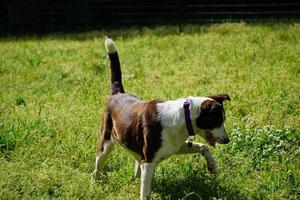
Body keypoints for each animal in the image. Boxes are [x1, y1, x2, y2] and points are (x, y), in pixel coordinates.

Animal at [92, 36, 231, 199]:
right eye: (217, 120)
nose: (227, 140)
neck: (183, 117)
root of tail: (118, 93)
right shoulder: (148, 162)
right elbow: (145, 193)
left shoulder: (176, 146)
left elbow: (204, 146)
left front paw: (212, 165)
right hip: (106, 144)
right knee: (96, 169)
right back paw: (94, 186)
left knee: (136, 168)